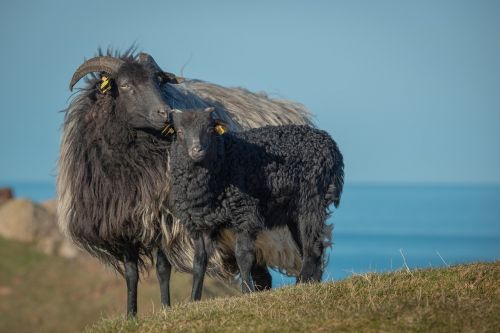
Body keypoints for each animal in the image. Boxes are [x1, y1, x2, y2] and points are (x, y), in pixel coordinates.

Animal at [58, 50, 314, 316]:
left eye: (157, 81)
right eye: (126, 85)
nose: (165, 113)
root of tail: (288, 109)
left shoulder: (163, 219)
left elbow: (162, 269)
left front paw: (165, 308)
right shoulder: (123, 223)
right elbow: (131, 274)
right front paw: (130, 315)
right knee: (262, 275)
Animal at [168, 109, 344, 298]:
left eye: (210, 130)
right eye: (180, 132)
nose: (197, 150)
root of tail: (329, 144)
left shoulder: (245, 213)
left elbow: (243, 255)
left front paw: (247, 292)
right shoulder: (201, 223)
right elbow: (199, 262)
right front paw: (194, 298)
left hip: (312, 199)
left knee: (312, 248)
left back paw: (301, 283)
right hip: (296, 212)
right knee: (311, 246)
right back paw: (312, 284)